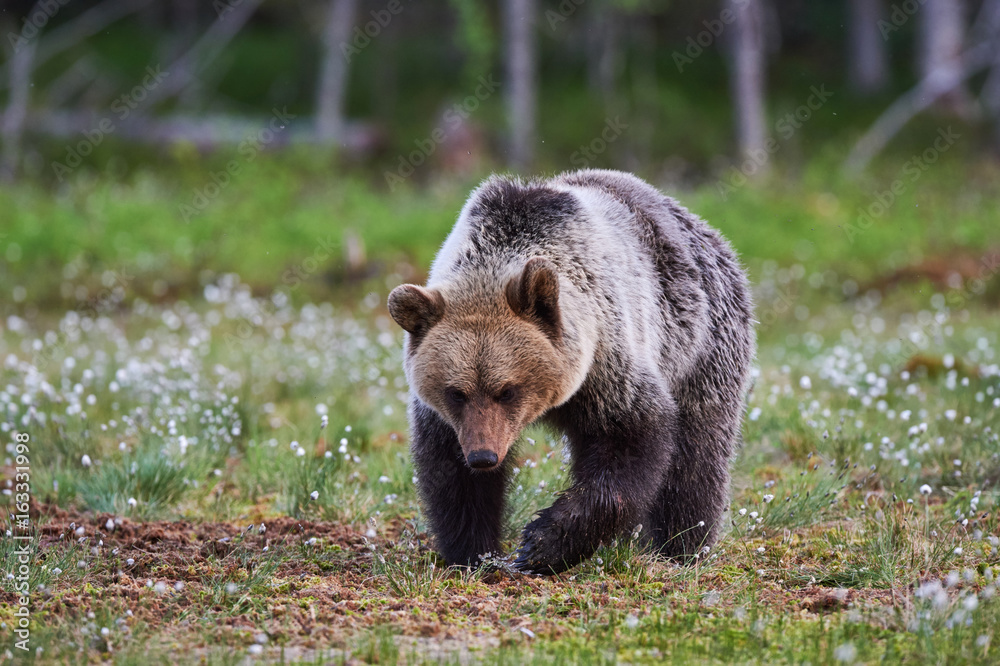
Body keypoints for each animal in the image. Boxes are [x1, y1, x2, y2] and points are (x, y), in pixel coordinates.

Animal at [387, 169, 755, 575]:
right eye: (456, 392)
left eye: (507, 390)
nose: (484, 456)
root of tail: (712, 236)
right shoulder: (450, 418)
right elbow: (451, 474)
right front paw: (475, 553)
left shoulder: (608, 363)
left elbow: (631, 442)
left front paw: (541, 543)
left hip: (701, 345)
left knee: (698, 457)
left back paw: (683, 546)